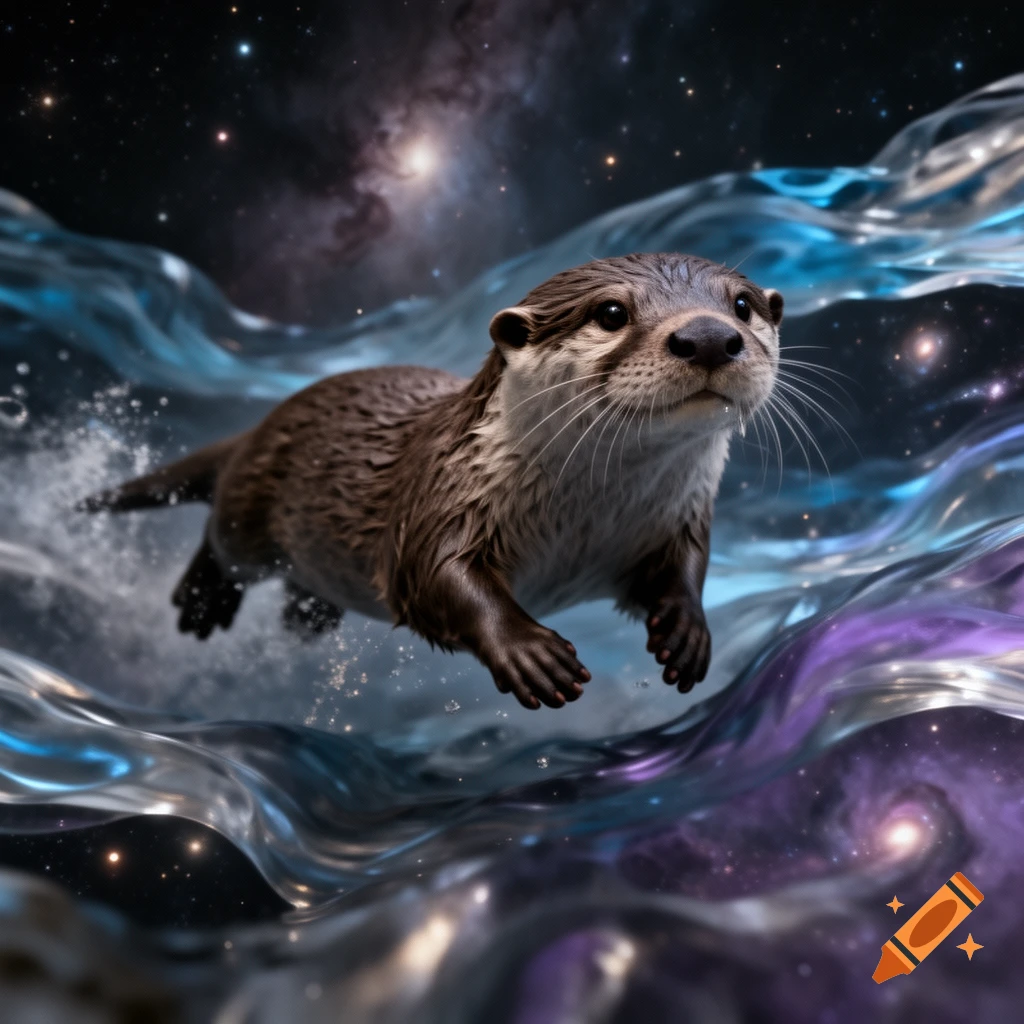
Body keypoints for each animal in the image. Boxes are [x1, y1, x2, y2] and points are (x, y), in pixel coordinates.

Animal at [80, 253, 783, 710]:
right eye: (611, 312)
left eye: (741, 305)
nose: (709, 336)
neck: (588, 517)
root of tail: (263, 422)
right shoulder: (443, 497)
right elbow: (434, 577)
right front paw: (528, 651)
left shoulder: (678, 516)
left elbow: (685, 567)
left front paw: (687, 630)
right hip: (250, 509)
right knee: (221, 540)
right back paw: (202, 601)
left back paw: (309, 618)